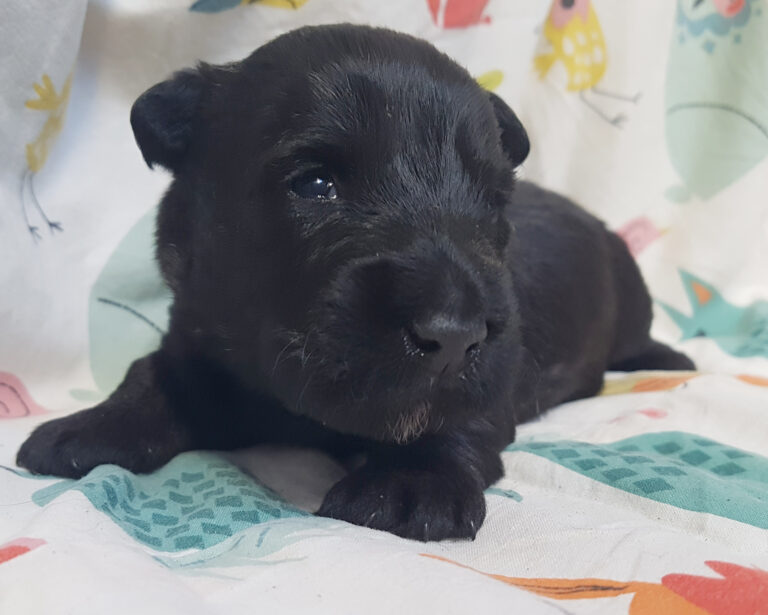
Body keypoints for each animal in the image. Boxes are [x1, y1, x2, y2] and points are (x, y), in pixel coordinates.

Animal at [16, 24, 688, 540]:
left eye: (496, 201)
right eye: (315, 184)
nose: (454, 336)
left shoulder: (492, 377)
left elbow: (447, 413)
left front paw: (407, 483)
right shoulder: (200, 329)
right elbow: (153, 371)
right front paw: (87, 428)